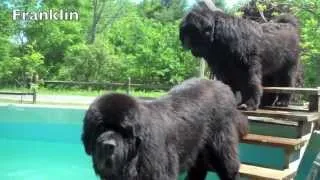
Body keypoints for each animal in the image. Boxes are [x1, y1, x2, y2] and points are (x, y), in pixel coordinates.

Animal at [82, 78, 248, 180]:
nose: (108, 145)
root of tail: (224, 87)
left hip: (222, 145)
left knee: (230, 168)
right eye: (100, 127)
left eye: (123, 130)